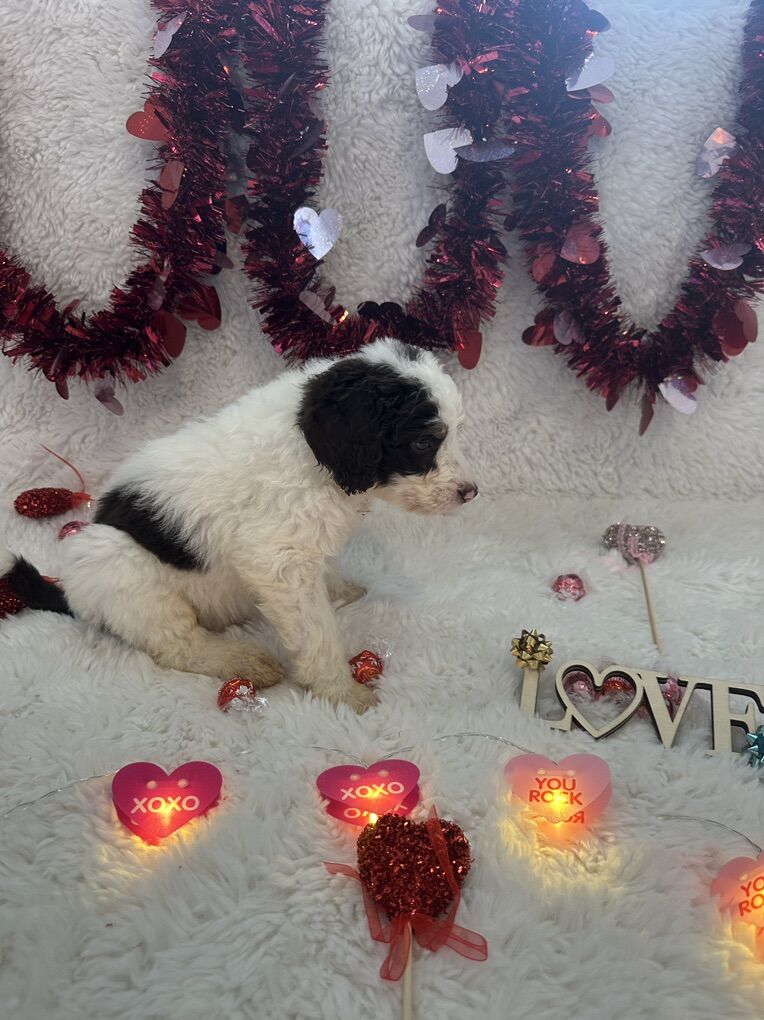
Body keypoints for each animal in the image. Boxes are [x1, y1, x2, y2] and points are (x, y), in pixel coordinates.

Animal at [4, 338, 478, 712]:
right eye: (423, 442)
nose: (470, 492)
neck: (311, 451)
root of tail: (71, 592)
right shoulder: (277, 562)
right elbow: (316, 632)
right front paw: (341, 692)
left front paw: (337, 589)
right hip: (119, 568)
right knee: (176, 645)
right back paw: (241, 661)